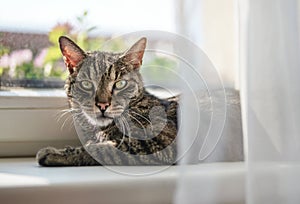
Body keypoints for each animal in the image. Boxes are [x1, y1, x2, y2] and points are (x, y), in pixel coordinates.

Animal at [36, 36, 179, 166]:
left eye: (120, 84)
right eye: (87, 84)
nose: (102, 105)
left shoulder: (163, 142)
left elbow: (102, 149)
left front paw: (55, 153)